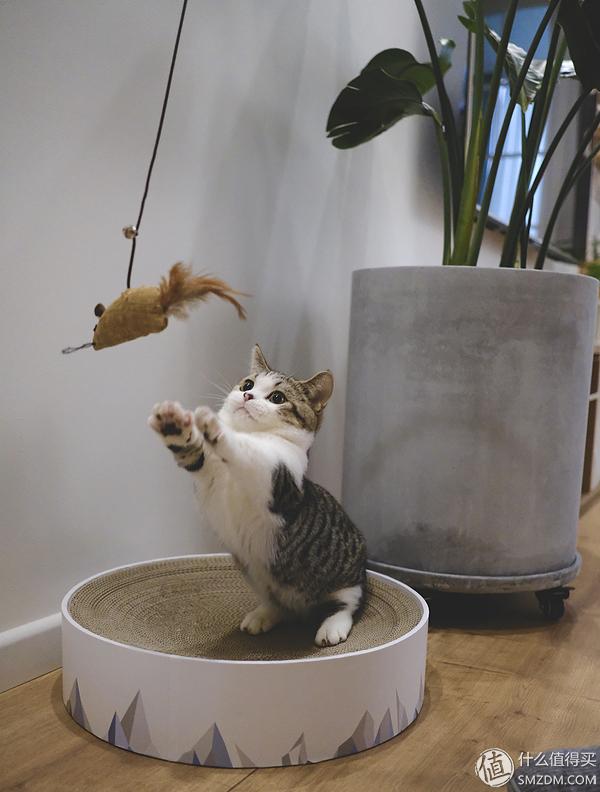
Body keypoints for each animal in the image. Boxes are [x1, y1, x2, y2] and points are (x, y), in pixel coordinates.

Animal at [148, 344, 367, 647]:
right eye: (248, 384)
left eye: (277, 397)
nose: (246, 395)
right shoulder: (208, 479)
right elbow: (194, 454)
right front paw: (175, 425)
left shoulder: (276, 479)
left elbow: (248, 452)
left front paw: (216, 428)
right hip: (255, 572)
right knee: (278, 605)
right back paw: (264, 615)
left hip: (346, 576)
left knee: (347, 603)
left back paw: (332, 625)